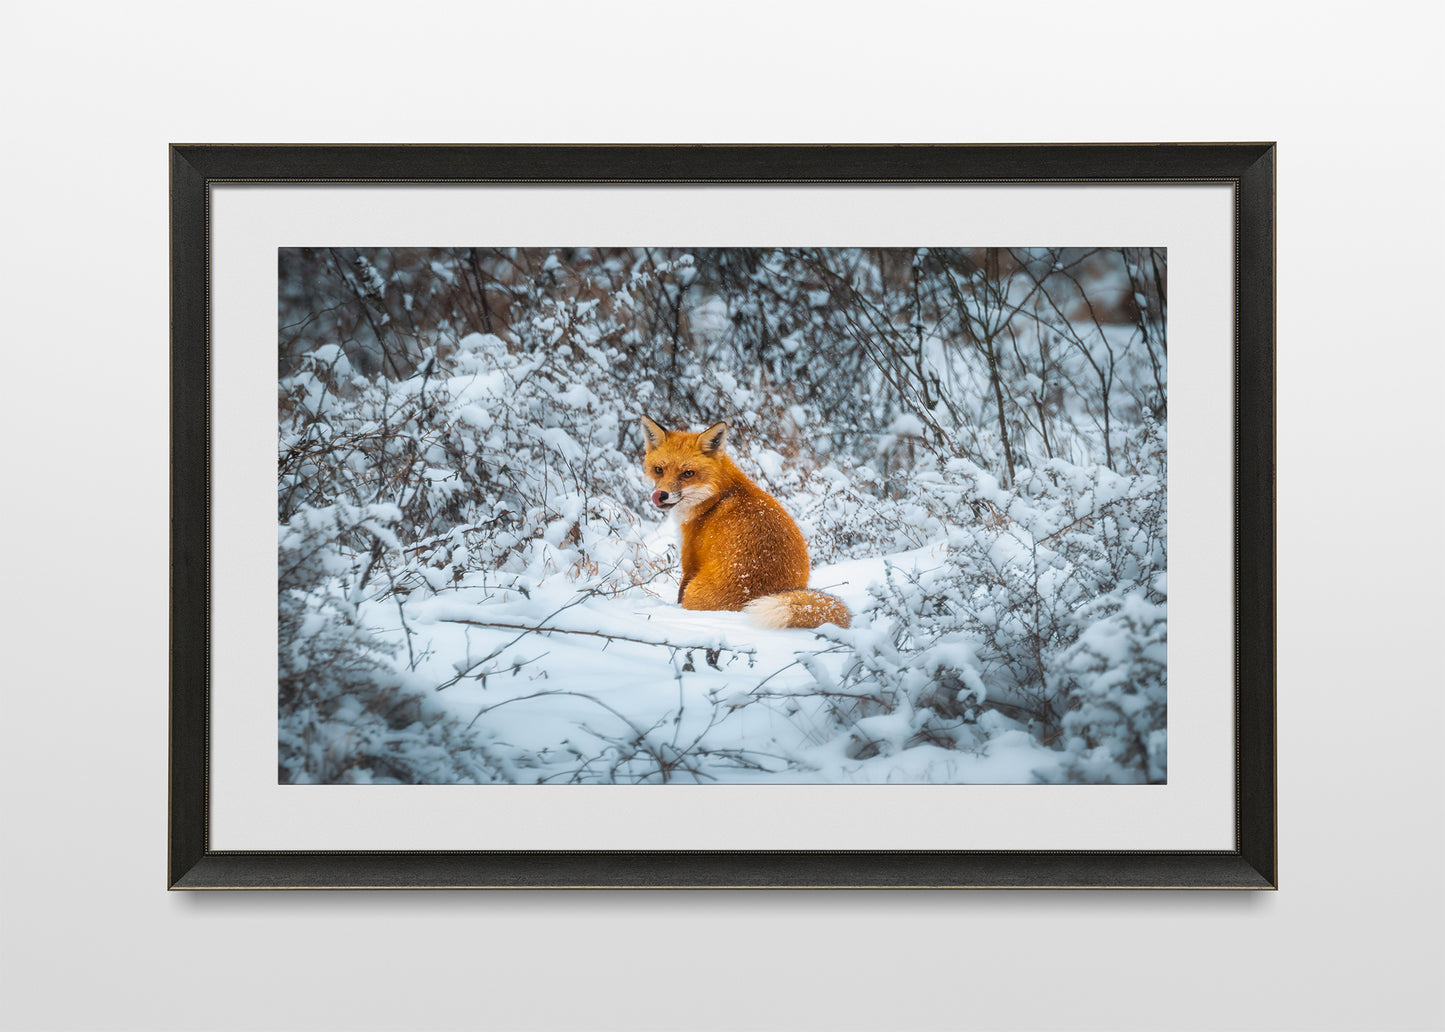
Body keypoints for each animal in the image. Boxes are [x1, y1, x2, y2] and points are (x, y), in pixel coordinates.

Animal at [640, 415, 851, 630]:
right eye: (659, 470)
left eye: (688, 473)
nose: (661, 495)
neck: (716, 497)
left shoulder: (690, 562)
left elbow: (679, 592)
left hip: (694, 590)